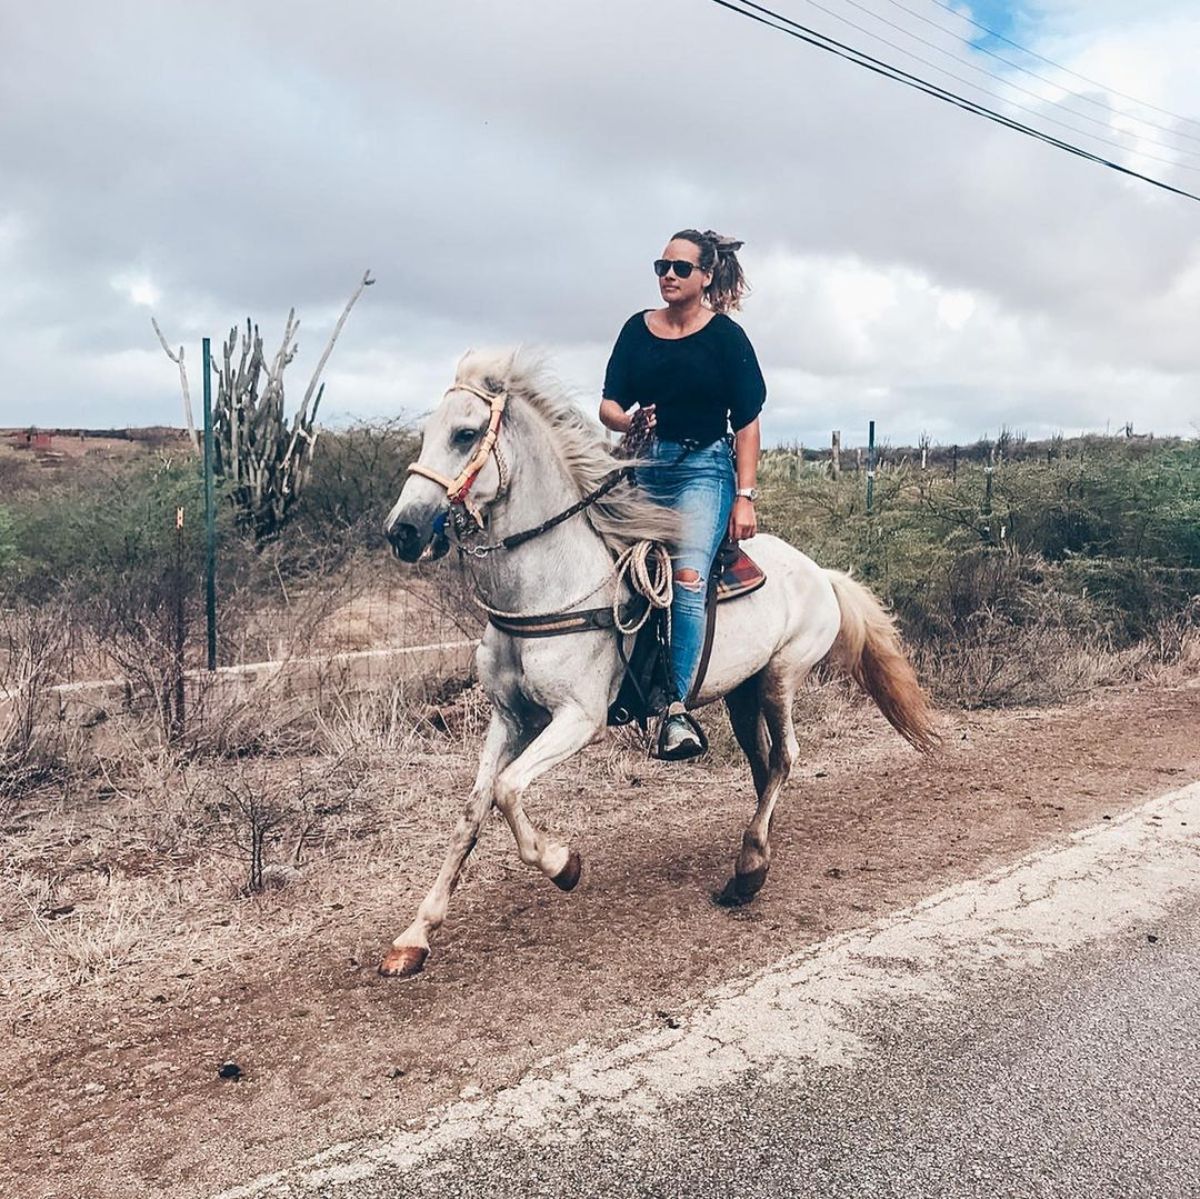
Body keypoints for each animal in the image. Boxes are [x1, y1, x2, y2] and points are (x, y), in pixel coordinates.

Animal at [384, 348, 936, 974]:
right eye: (427, 433)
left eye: (466, 433)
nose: (403, 531)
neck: (549, 589)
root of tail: (821, 571)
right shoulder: (510, 718)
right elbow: (473, 809)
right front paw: (416, 934)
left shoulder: (579, 719)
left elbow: (508, 790)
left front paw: (563, 864)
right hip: (743, 693)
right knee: (764, 764)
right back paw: (756, 849)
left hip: (781, 677)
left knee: (786, 756)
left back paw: (748, 868)